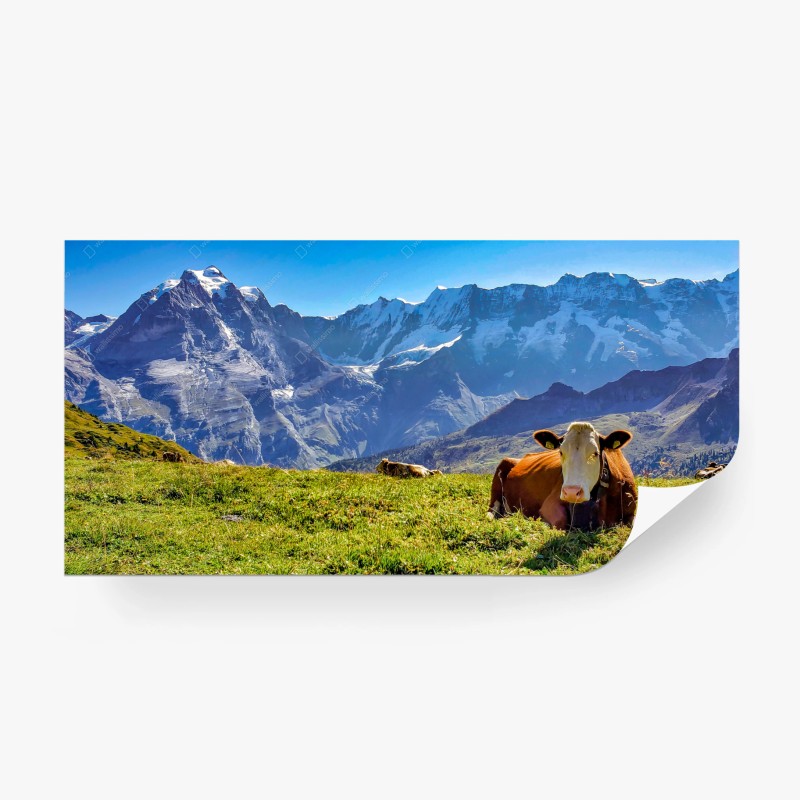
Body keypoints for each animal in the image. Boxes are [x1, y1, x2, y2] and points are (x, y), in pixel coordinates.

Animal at [486, 422, 637, 530]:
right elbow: (560, 521)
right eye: (560, 452)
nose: (571, 492)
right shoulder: (550, 503)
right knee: (492, 511)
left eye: (595, 453)